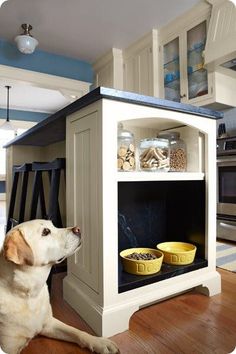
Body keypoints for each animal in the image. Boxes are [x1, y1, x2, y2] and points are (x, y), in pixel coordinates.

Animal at [0, 220, 118, 354]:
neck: (28, 295)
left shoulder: (49, 323)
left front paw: (99, 342)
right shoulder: (8, 347)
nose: (78, 229)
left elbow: (76, 331)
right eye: (46, 232)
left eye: (53, 225)